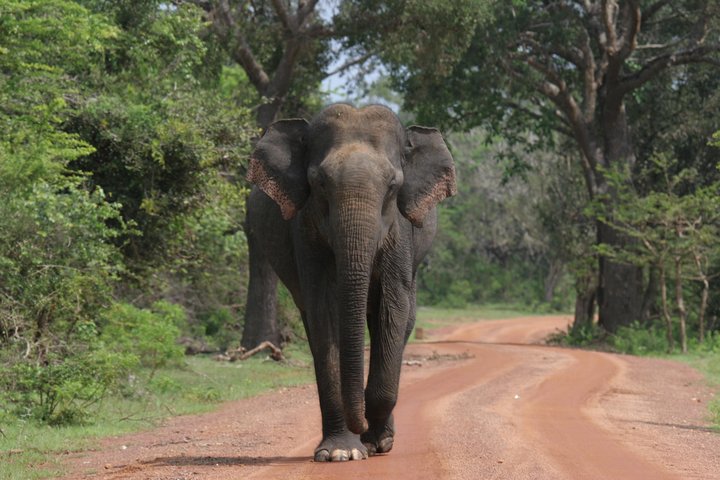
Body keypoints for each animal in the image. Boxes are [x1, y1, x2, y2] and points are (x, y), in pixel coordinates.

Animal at [245, 103, 456, 462]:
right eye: (319, 183)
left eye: (392, 186)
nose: (362, 428)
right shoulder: (305, 228)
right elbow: (323, 309)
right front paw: (340, 453)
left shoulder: (400, 231)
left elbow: (393, 306)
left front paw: (374, 442)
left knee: (402, 322)